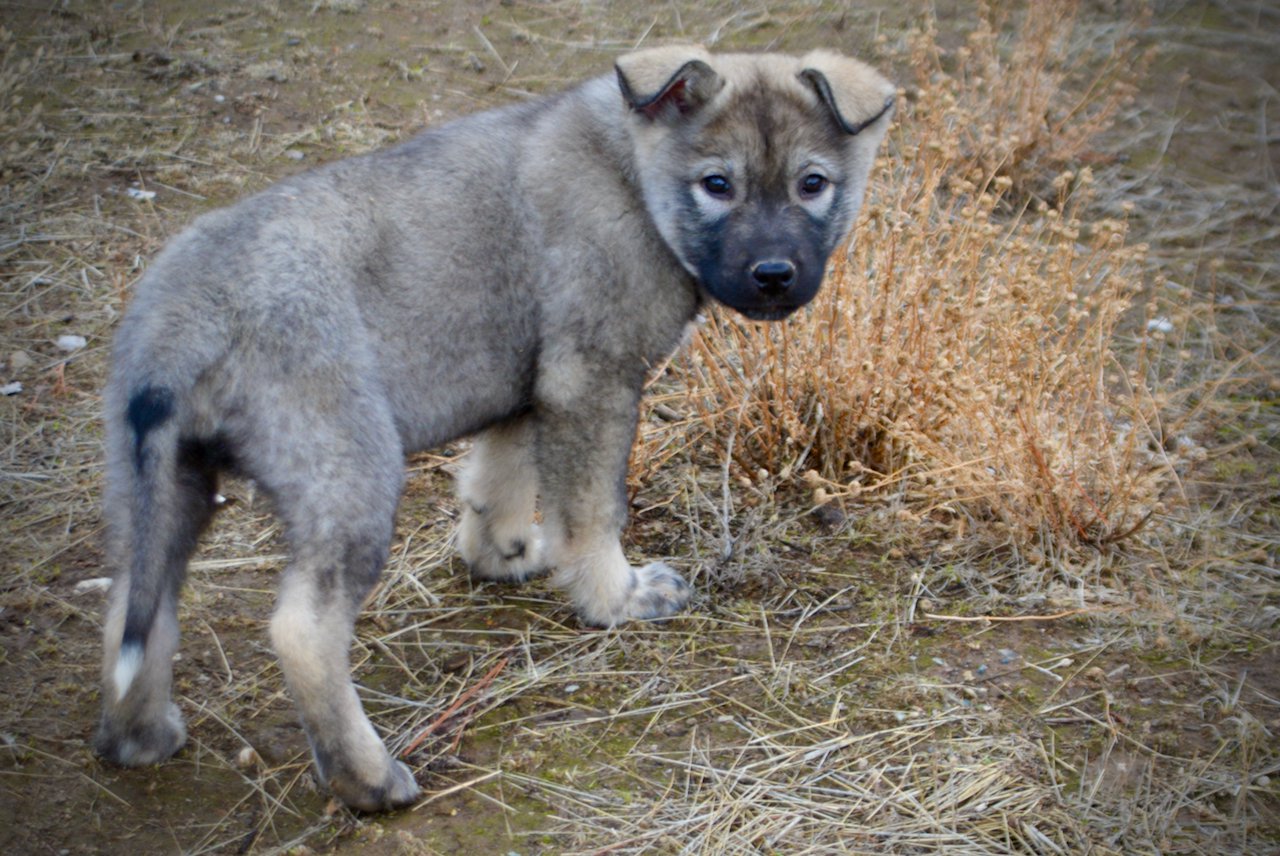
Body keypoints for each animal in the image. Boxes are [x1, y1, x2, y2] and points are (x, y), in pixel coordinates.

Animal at [94, 45, 896, 808]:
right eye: (717, 185)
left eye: (812, 184)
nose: (774, 276)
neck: (632, 175)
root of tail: (183, 321)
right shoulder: (591, 377)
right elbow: (592, 510)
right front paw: (616, 598)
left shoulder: (525, 386)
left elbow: (499, 480)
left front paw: (503, 556)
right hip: (351, 472)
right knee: (302, 632)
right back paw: (368, 780)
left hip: (163, 483)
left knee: (136, 607)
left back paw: (141, 736)